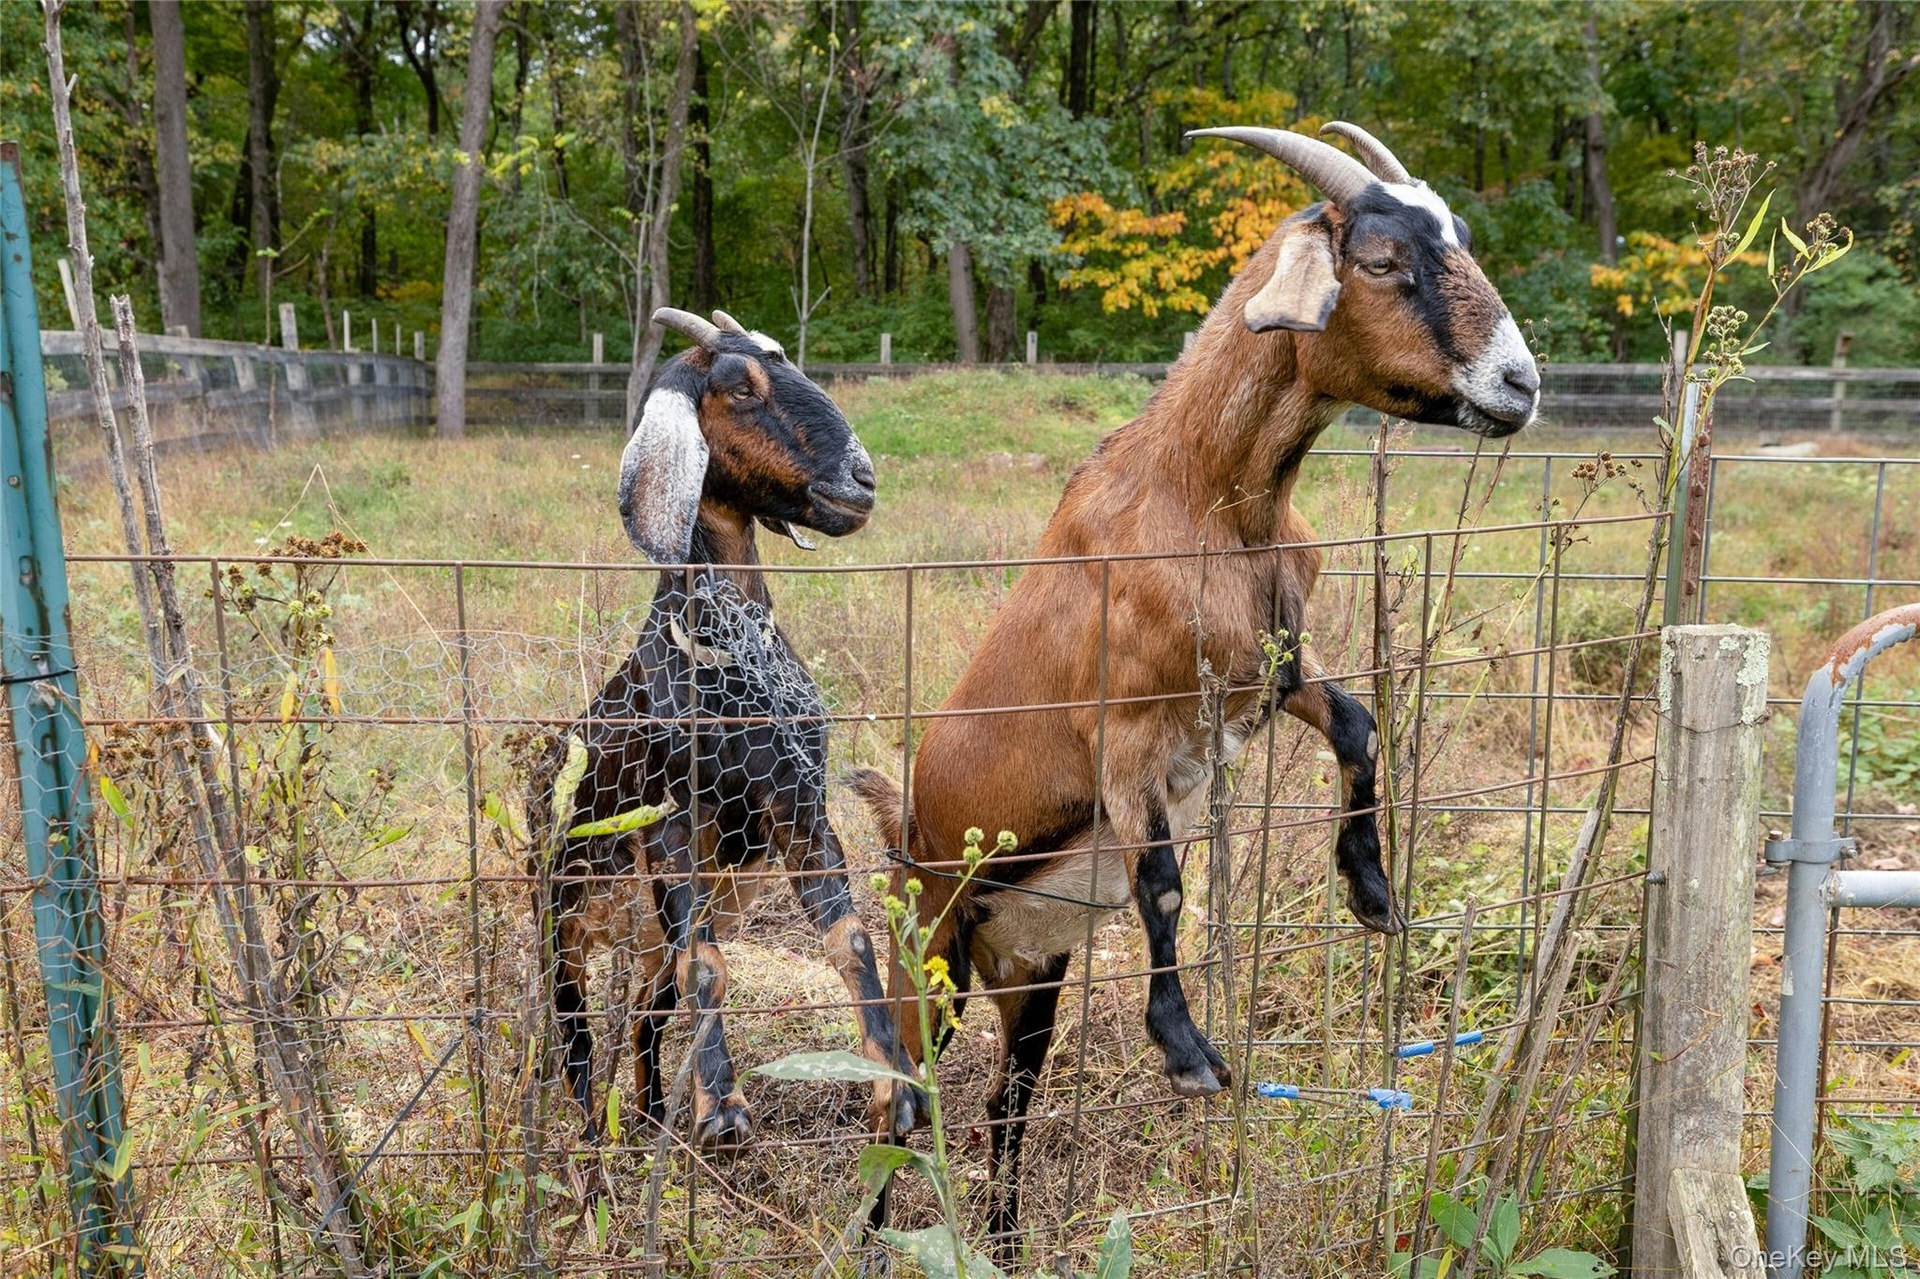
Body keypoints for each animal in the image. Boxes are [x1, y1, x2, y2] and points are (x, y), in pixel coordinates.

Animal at [530, 307, 924, 1149]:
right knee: (576, 1035)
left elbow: (851, 937)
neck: (730, 658)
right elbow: (707, 963)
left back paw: (649, 1114)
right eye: (740, 388)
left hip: (647, 934)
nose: (862, 479)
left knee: (645, 1017)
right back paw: (594, 1136)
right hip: (566, 922)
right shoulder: (672, 819)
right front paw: (723, 1109)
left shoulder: (800, 807)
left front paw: (897, 1088)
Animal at [851, 122, 1539, 1247]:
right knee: (900, 1098)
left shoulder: (1273, 672)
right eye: (1381, 261)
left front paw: (1372, 889)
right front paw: (1186, 1051)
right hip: (934, 947)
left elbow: (1359, 724)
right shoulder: (1127, 734)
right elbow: (1164, 883)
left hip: (1029, 970)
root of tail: (897, 828)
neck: (1207, 494)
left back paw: (1003, 1238)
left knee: (1007, 1098)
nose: (1519, 385)